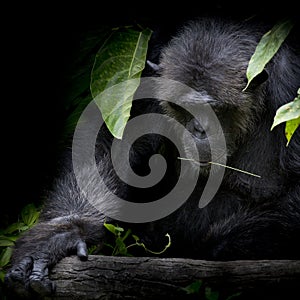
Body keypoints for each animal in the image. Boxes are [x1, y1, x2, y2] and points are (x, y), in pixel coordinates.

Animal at [4, 17, 300, 298]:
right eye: (182, 107)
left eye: (213, 109)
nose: (198, 129)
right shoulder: (148, 68)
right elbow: (111, 140)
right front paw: (62, 233)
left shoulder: (291, 89)